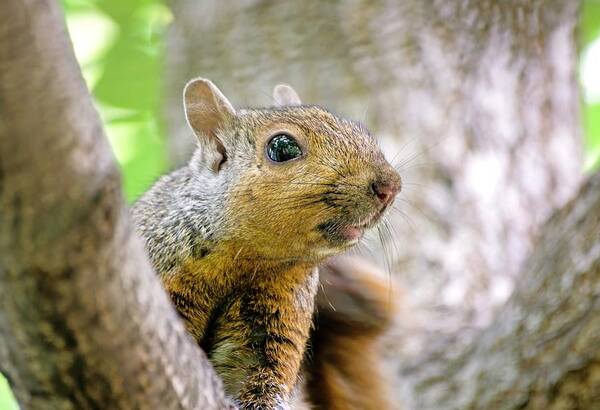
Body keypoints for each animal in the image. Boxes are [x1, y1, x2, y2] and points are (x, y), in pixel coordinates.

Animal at [133, 78, 400, 408]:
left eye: (363, 132)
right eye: (282, 147)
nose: (391, 186)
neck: (249, 259)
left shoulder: (276, 316)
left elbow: (258, 373)